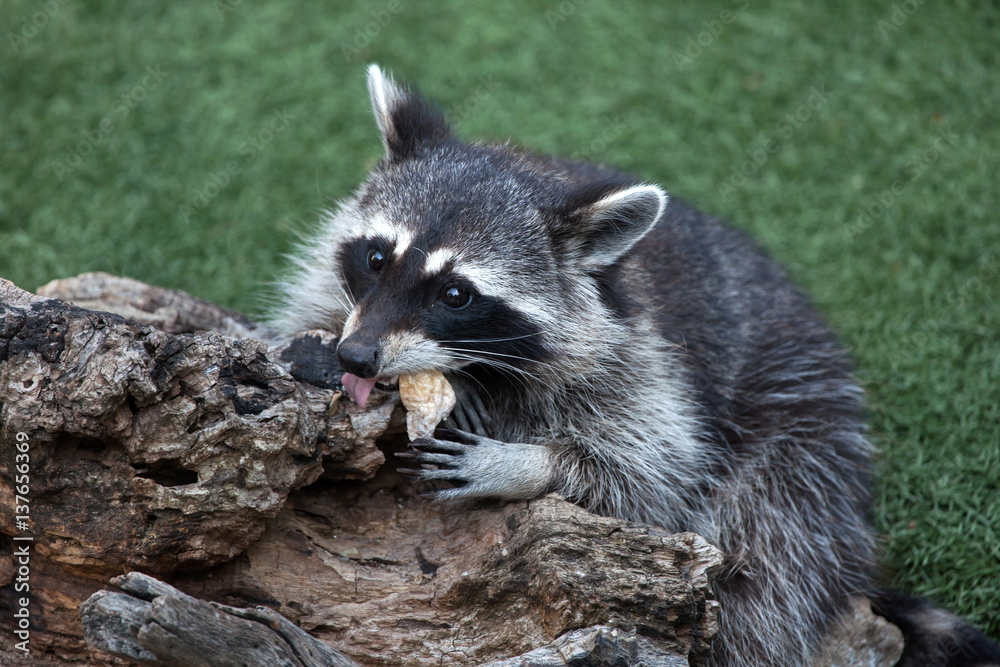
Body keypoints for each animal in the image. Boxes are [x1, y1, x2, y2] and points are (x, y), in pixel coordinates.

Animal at [269, 66, 1000, 667]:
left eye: (455, 294)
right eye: (376, 257)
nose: (358, 355)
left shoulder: (645, 360)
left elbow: (653, 480)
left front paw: (530, 463)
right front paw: (325, 349)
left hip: (802, 425)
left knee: (765, 565)